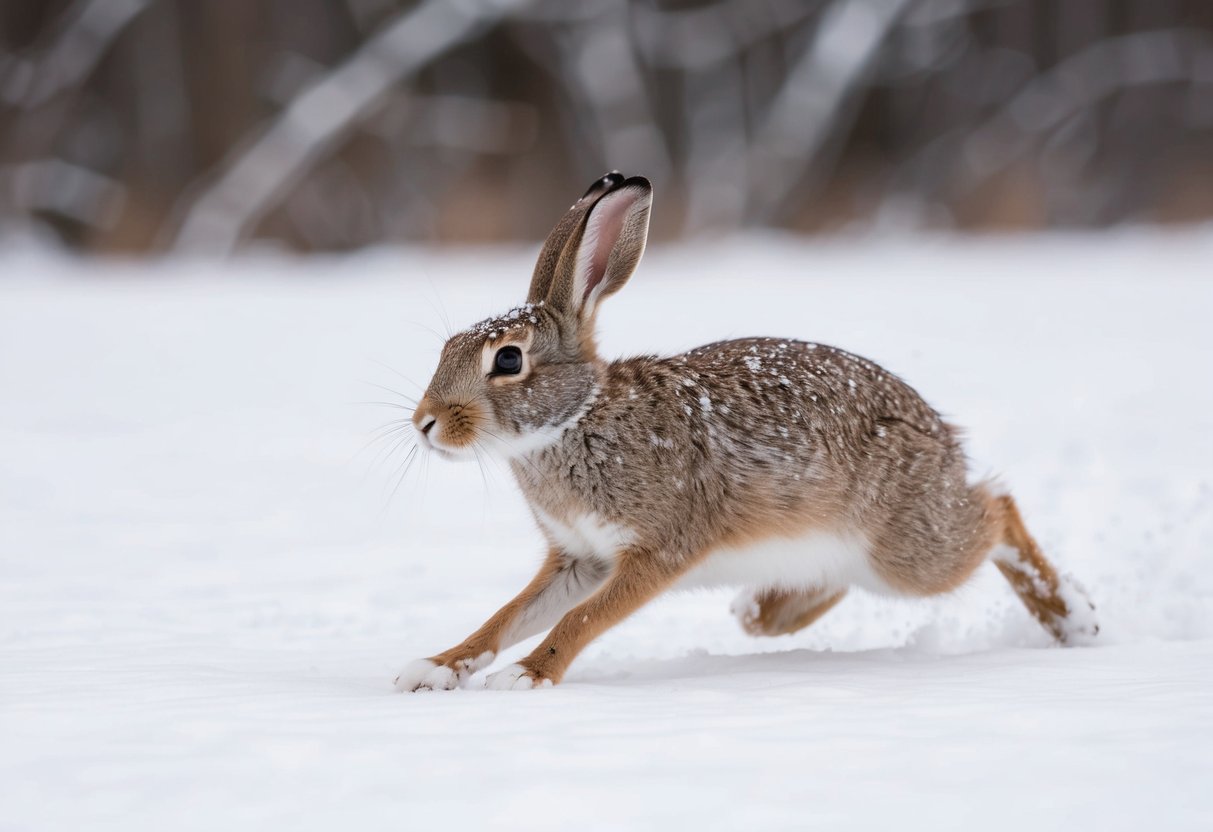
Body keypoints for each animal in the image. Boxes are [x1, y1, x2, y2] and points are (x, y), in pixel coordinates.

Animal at [394, 171, 1097, 692]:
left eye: (508, 360)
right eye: (450, 348)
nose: (425, 423)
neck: (576, 420)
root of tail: (945, 442)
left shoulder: (657, 548)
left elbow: (582, 617)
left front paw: (526, 676)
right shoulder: (580, 557)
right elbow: (509, 614)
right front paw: (434, 668)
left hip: (910, 550)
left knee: (998, 510)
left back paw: (1074, 618)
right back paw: (760, 611)